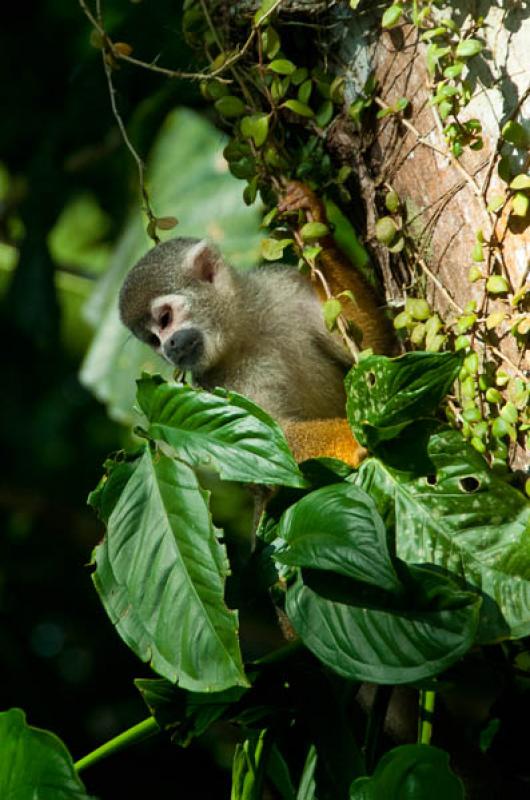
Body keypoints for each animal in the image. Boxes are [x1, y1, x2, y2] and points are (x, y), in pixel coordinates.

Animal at [118, 182, 392, 466]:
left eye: (165, 319)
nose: (168, 346)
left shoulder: (282, 284)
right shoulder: (217, 387)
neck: (244, 334)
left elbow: (374, 348)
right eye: (153, 341)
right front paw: (352, 436)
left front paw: (311, 221)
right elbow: (271, 442)